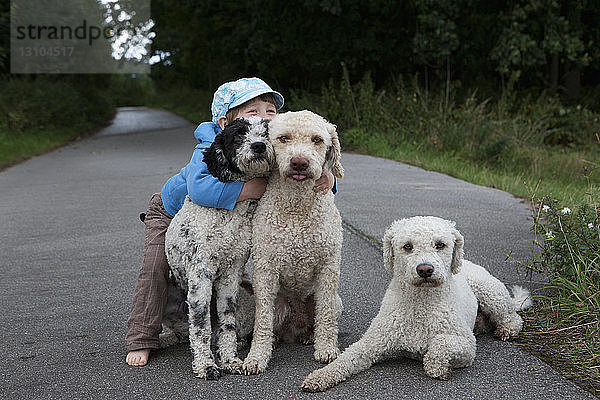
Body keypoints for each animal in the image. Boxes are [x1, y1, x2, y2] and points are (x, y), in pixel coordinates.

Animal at [163, 117, 274, 380]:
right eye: (238, 134)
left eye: (266, 131)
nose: (258, 146)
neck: (228, 218)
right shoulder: (200, 274)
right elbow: (200, 326)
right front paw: (206, 365)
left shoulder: (231, 273)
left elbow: (227, 322)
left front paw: (230, 360)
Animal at [241, 110, 344, 376]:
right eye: (283, 138)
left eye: (317, 140)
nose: (299, 162)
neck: (296, 208)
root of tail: (296, 324)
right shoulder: (265, 271)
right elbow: (262, 321)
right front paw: (257, 357)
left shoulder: (329, 267)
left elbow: (326, 316)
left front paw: (326, 348)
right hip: (277, 303)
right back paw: (276, 339)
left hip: (333, 301)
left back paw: (310, 335)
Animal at [302, 216, 532, 390]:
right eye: (407, 246)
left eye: (440, 244)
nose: (425, 270)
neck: (420, 304)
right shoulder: (370, 344)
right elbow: (345, 360)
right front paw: (320, 376)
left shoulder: (467, 346)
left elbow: (439, 345)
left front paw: (439, 368)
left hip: (490, 292)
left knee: (513, 317)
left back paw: (507, 329)